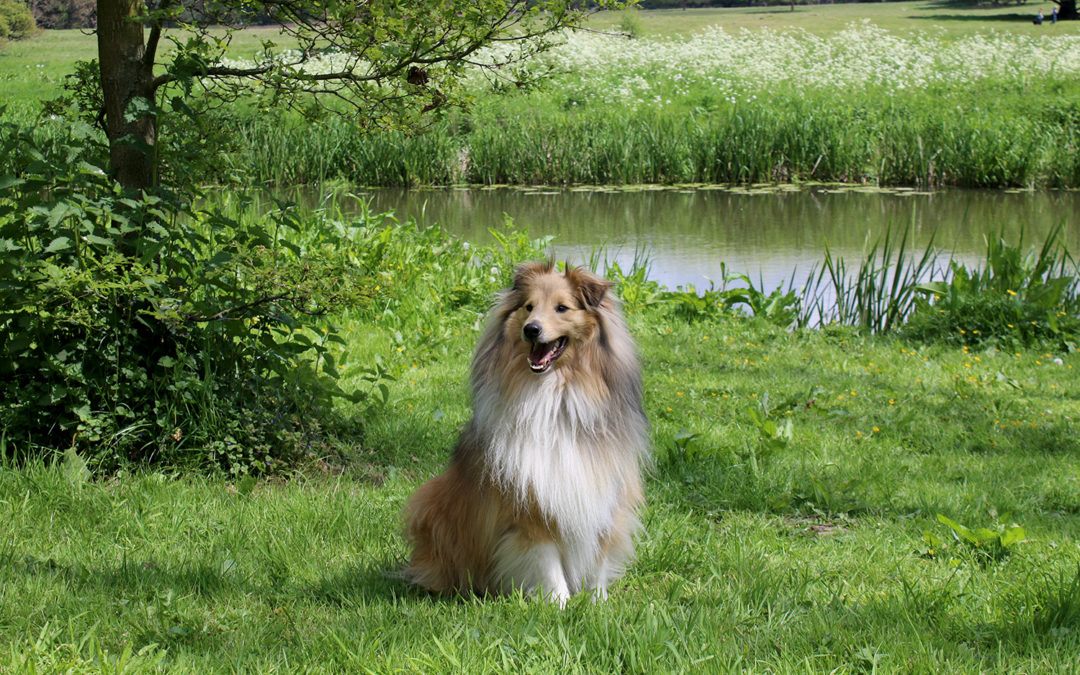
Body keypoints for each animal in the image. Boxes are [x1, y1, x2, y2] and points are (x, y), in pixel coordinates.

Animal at [403, 260, 648, 604]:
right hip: (432, 503)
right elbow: (546, 562)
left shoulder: (604, 495)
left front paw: (597, 603)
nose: (531, 329)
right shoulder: (530, 506)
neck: (556, 398)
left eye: (562, 307)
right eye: (529, 307)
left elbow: (598, 558)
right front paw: (559, 604)